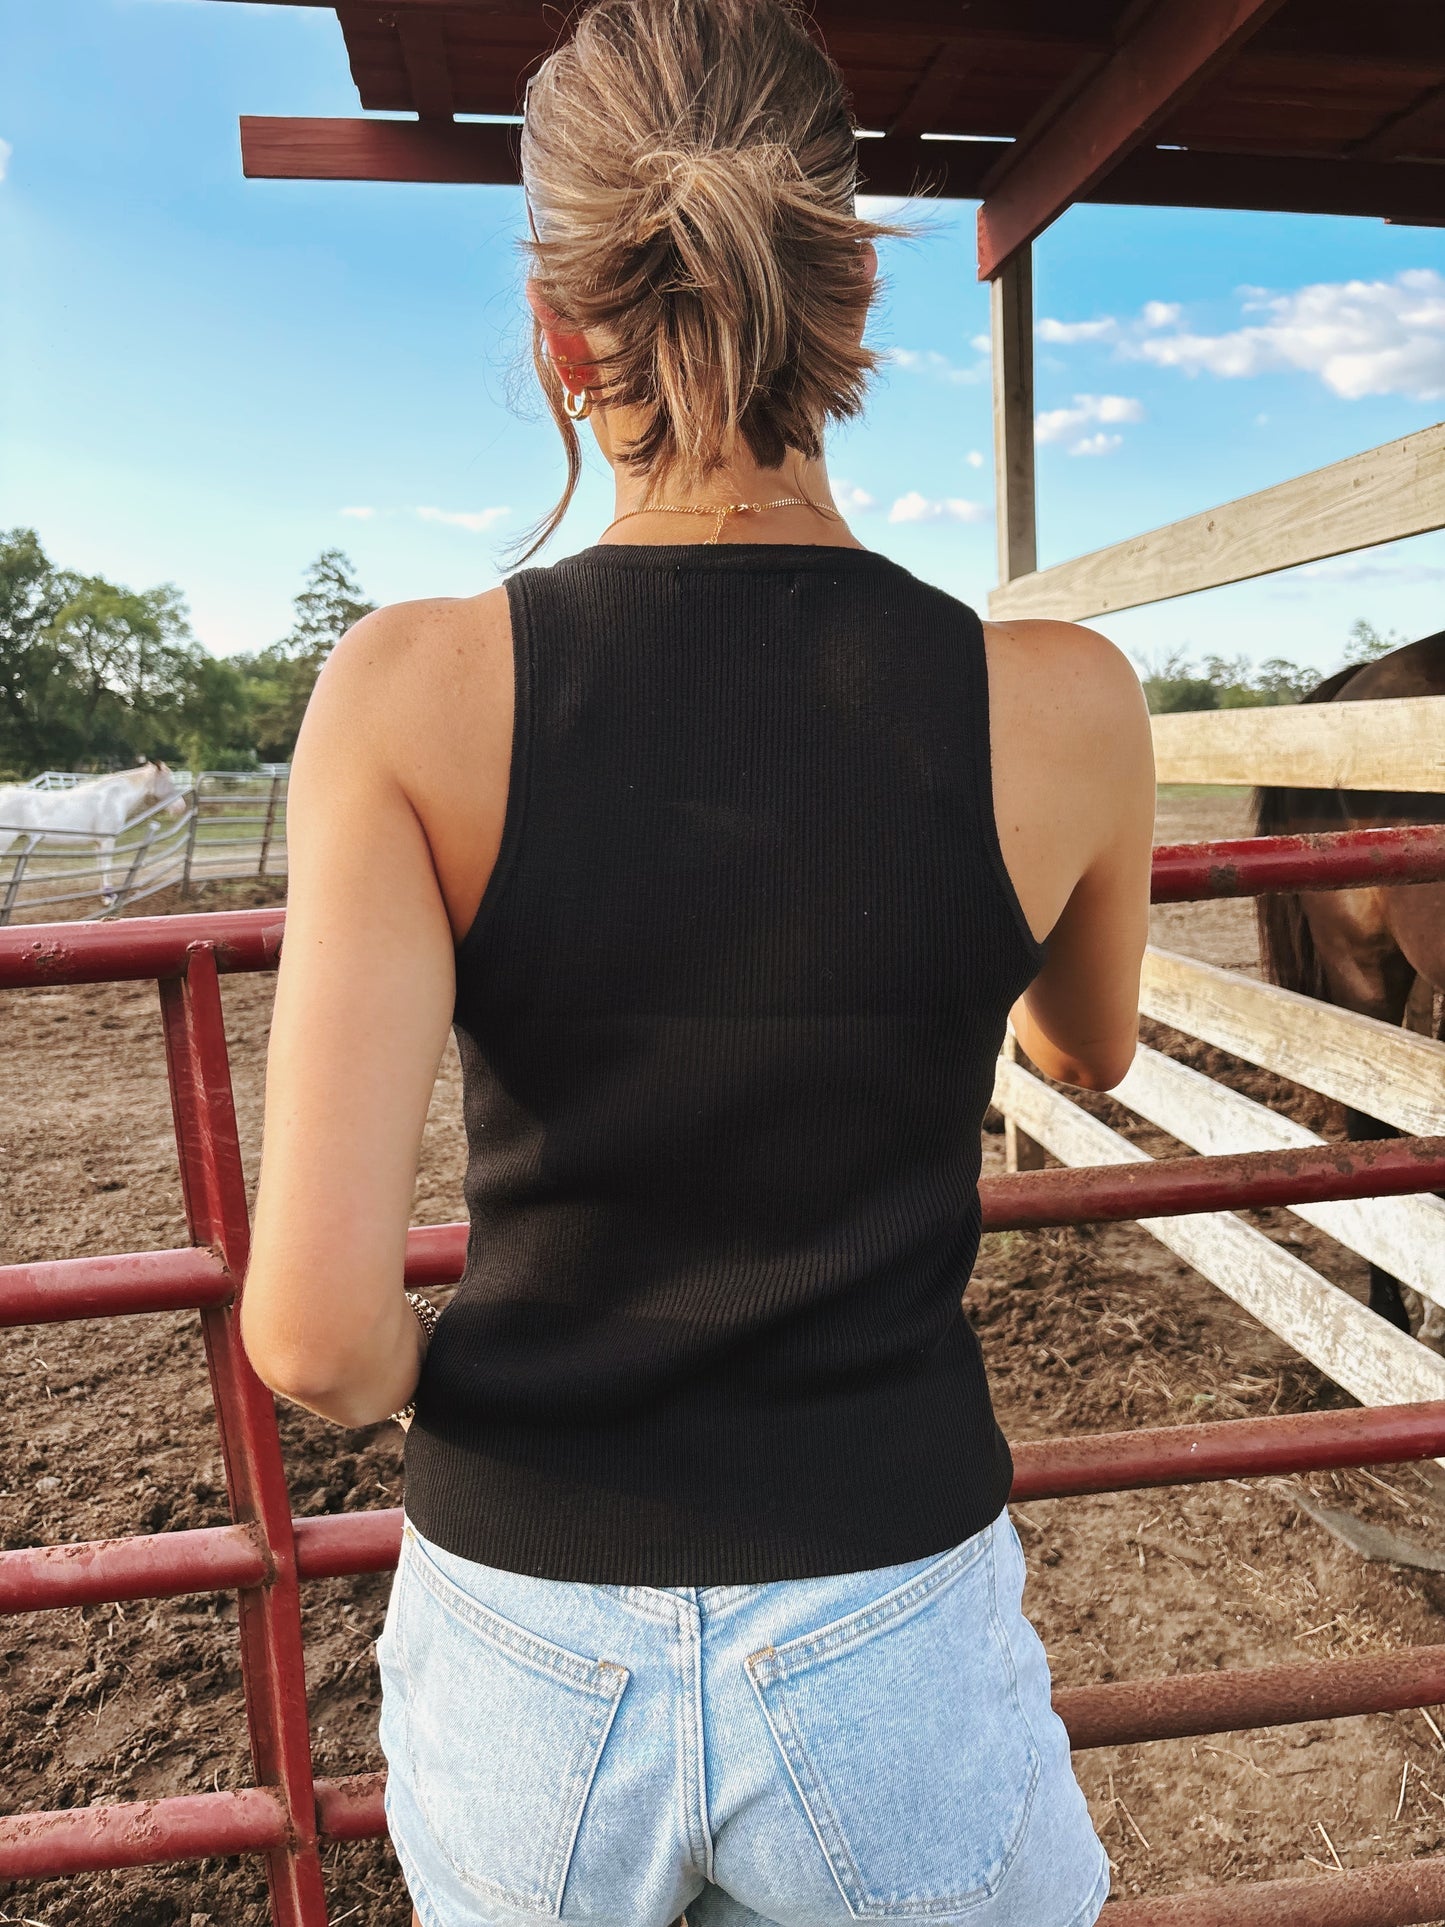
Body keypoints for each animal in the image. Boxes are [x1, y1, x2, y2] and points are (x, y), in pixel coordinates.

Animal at [0, 759, 187, 901]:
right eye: (170, 781)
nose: (181, 807)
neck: (112, 798)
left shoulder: (98, 843)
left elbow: (100, 867)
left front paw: (104, 895)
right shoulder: (107, 841)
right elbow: (107, 866)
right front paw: (109, 897)